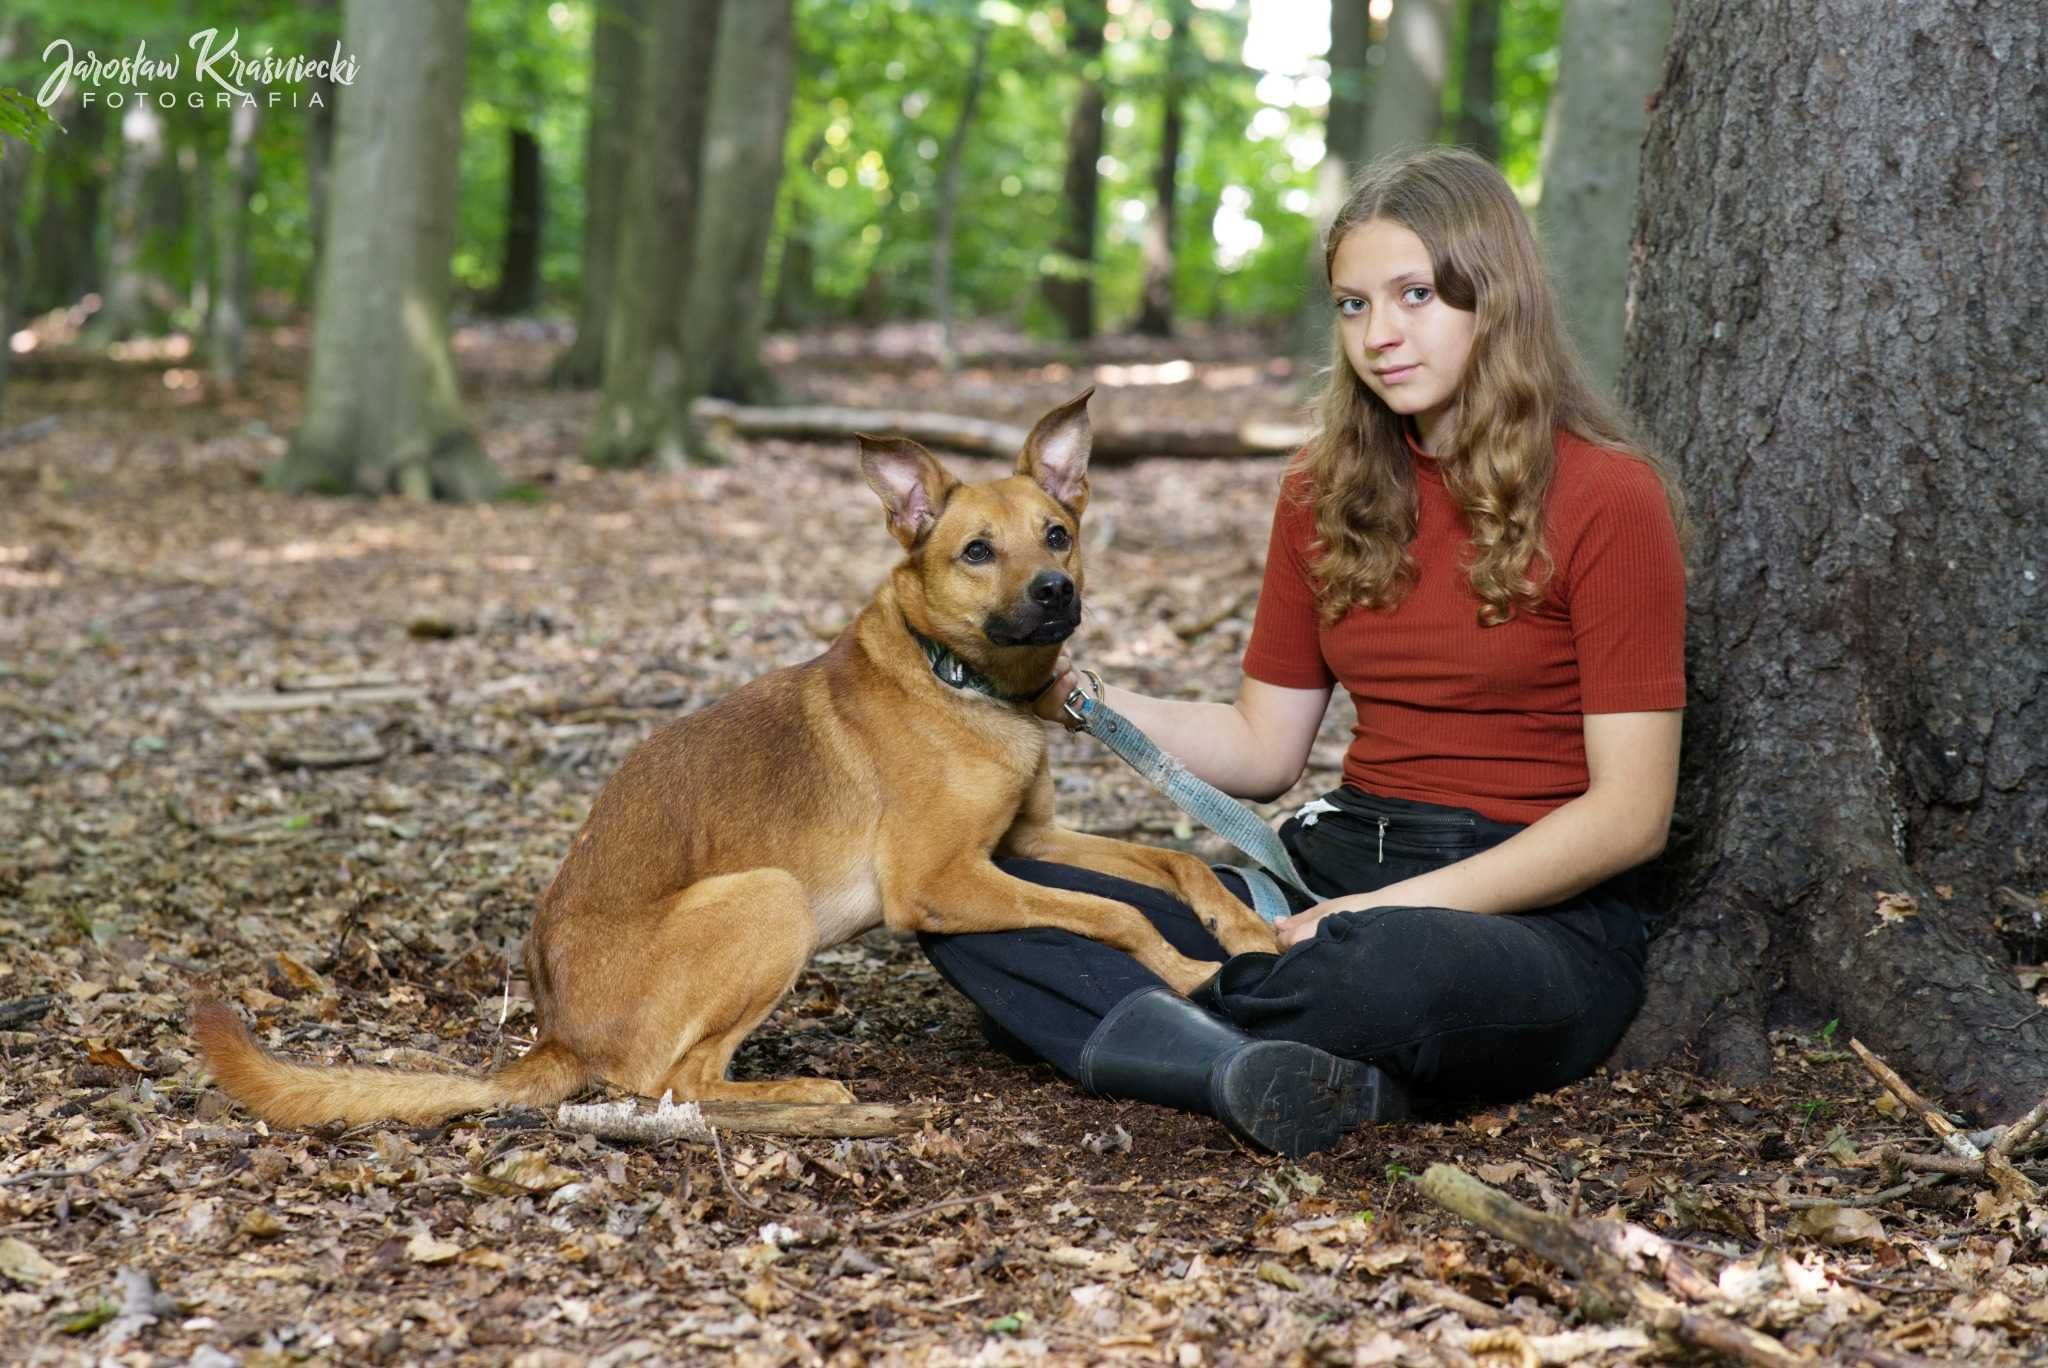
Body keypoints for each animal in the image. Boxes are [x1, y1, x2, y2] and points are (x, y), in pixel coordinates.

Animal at [195, 389, 1277, 1130]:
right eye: (977, 552)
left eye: (1057, 533)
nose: (1055, 592)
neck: (965, 682)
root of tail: (554, 1033)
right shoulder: (941, 882)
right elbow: (1115, 914)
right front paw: (1189, 967)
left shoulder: (1023, 842)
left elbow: (1172, 860)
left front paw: (1246, 927)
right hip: (769, 898)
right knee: (672, 1087)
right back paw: (809, 1094)